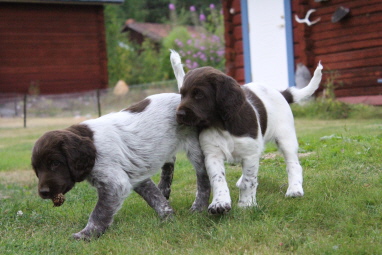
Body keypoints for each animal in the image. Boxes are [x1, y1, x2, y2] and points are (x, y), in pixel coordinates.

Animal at [172, 54, 324, 214]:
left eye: (199, 94)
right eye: (182, 95)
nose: (179, 114)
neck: (222, 125)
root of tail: (280, 92)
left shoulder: (249, 153)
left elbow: (249, 181)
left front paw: (246, 204)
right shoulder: (212, 154)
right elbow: (218, 179)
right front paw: (220, 203)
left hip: (286, 138)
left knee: (293, 164)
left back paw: (295, 189)